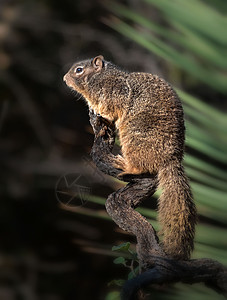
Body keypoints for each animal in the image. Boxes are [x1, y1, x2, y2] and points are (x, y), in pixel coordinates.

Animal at [63, 54, 197, 260]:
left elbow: (109, 111)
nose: (64, 79)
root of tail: (170, 159)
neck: (102, 78)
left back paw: (123, 164)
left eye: (79, 70)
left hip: (133, 138)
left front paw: (99, 113)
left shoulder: (114, 94)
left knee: (139, 166)